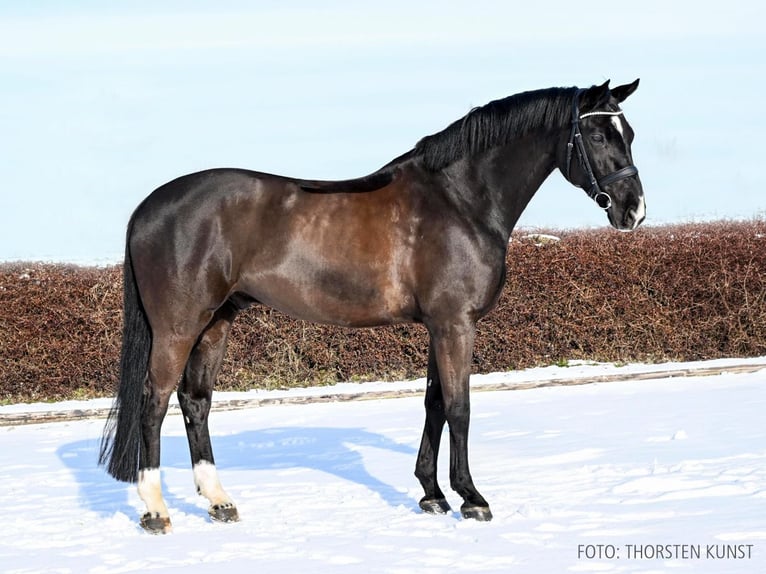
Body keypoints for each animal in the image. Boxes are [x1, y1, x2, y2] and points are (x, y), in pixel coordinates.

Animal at [99, 79, 645, 534]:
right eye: (598, 135)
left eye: (630, 133)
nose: (634, 210)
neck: (459, 200)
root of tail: (148, 208)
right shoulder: (456, 325)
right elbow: (460, 407)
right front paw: (471, 498)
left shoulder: (438, 326)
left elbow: (434, 404)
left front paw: (431, 495)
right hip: (178, 325)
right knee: (154, 400)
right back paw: (155, 510)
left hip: (216, 322)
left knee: (196, 401)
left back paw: (220, 502)